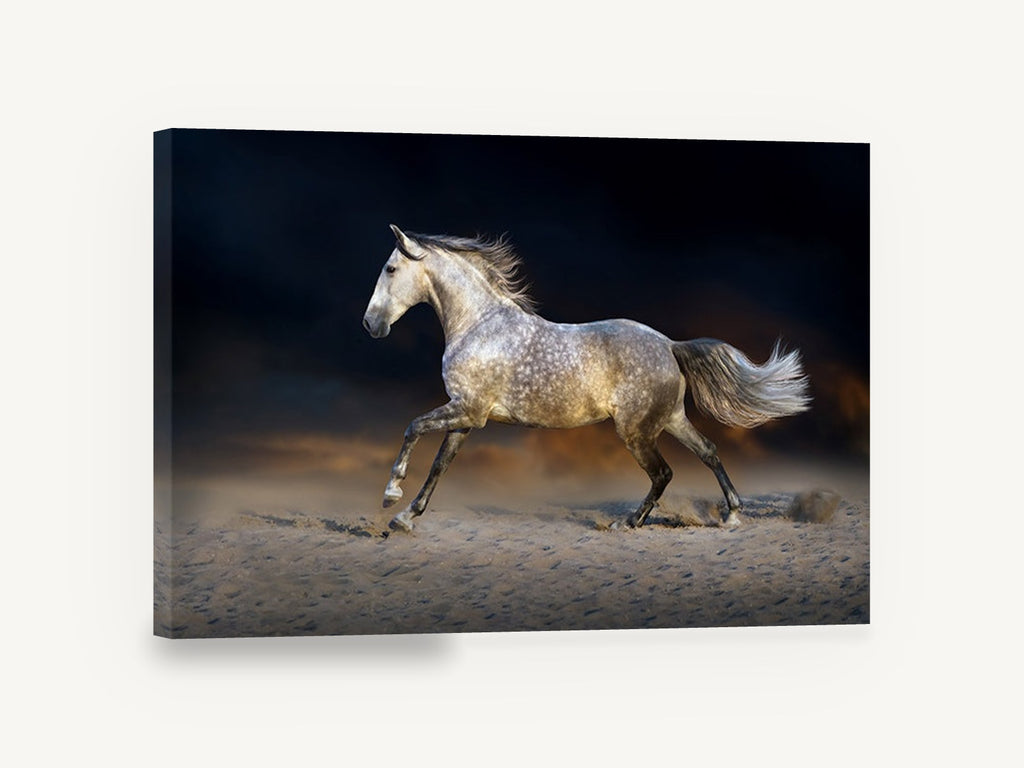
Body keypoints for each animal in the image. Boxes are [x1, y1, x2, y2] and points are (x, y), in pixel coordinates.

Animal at [362, 225, 810, 533]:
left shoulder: (466, 410)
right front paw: (405, 517)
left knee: (663, 473)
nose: (370, 324)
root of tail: (669, 345)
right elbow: (440, 465)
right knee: (709, 452)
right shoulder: (467, 418)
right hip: (670, 420)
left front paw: (390, 496)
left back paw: (628, 523)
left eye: (390, 268)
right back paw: (732, 514)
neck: (480, 325)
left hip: (636, 430)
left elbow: (413, 427)